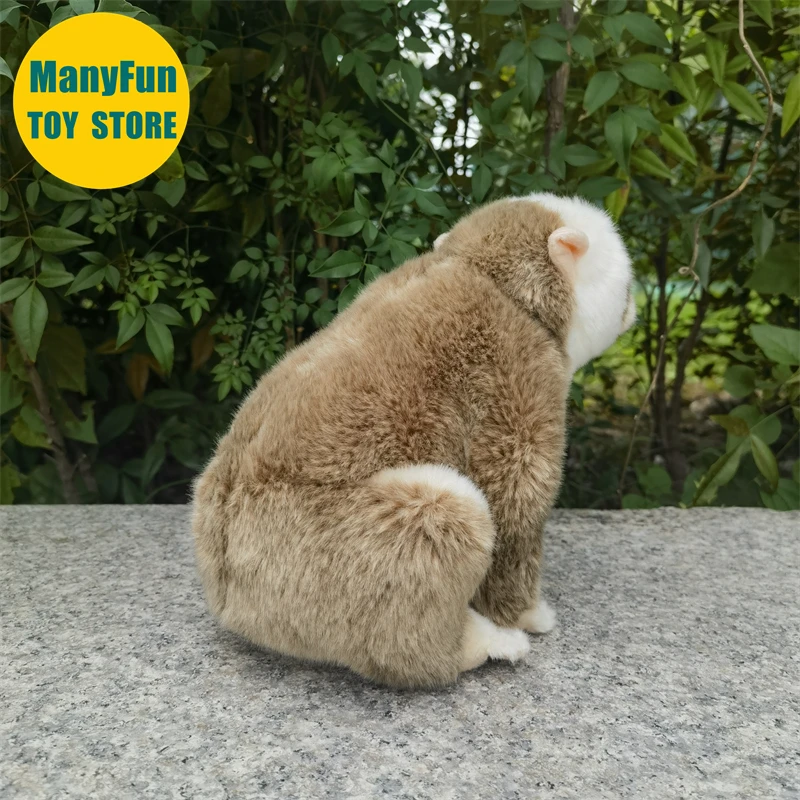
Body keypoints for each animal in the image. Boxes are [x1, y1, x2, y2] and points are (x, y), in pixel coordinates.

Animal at [192, 193, 636, 688]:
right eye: (626, 287)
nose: (634, 307)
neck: (497, 278)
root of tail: (228, 594)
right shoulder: (520, 381)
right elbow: (515, 508)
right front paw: (527, 615)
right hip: (362, 542)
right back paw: (488, 644)